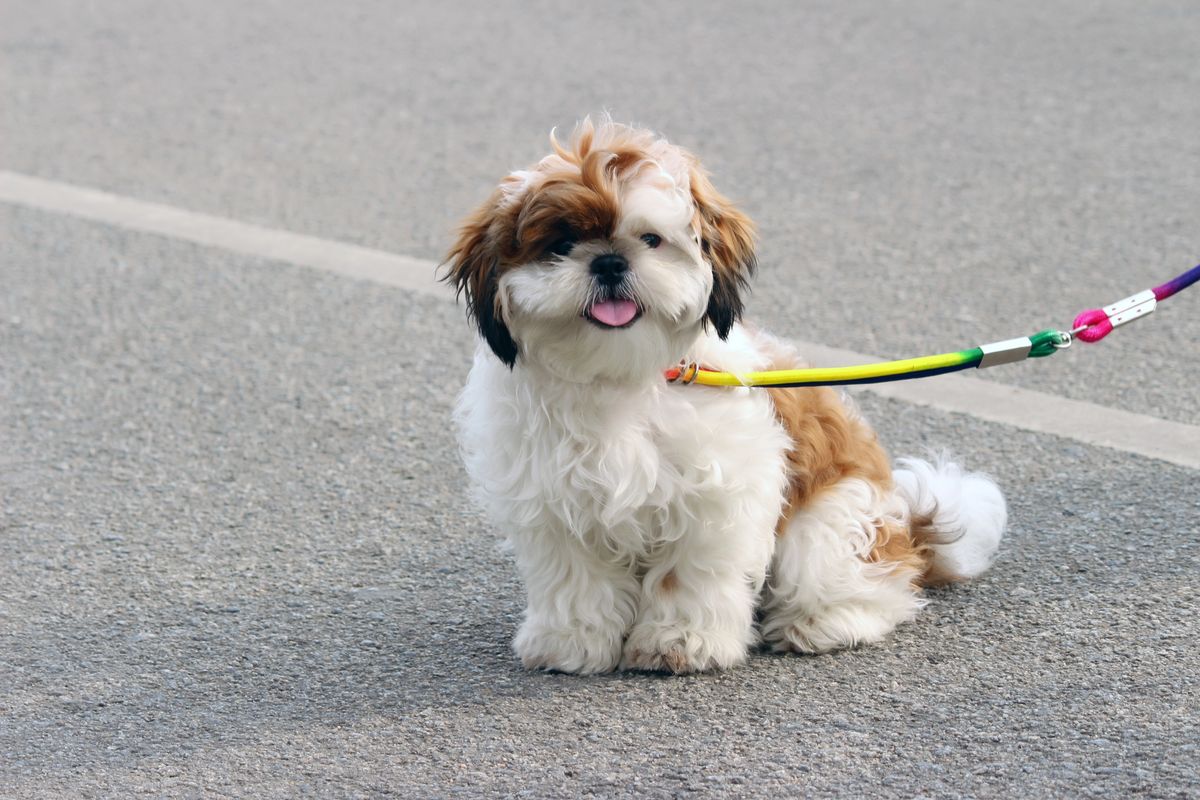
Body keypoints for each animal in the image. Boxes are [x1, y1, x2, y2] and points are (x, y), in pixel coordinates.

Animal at [441, 115, 1003, 671]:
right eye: (560, 244)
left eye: (650, 239)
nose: (609, 263)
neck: (622, 374)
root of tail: (908, 529)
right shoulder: (555, 501)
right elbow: (577, 577)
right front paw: (572, 641)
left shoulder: (715, 496)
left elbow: (687, 574)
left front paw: (680, 641)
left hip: (834, 521)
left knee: (867, 583)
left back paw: (826, 621)